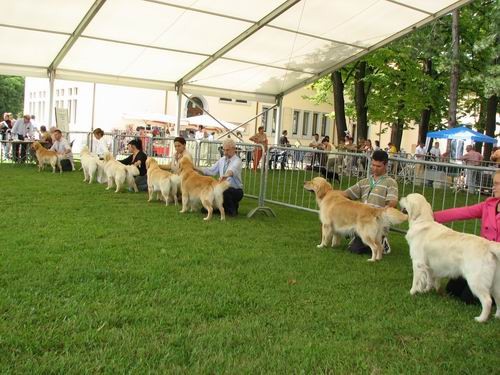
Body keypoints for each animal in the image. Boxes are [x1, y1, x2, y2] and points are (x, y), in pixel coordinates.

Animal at [398, 194, 500, 324]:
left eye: (406, 199)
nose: (400, 198)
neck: (422, 221)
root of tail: (488, 245)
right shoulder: (429, 266)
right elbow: (429, 279)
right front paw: (426, 290)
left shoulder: (417, 262)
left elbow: (416, 280)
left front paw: (412, 292)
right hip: (495, 283)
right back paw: (497, 316)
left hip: (475, 280)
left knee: (487, 301)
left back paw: (480, 319)